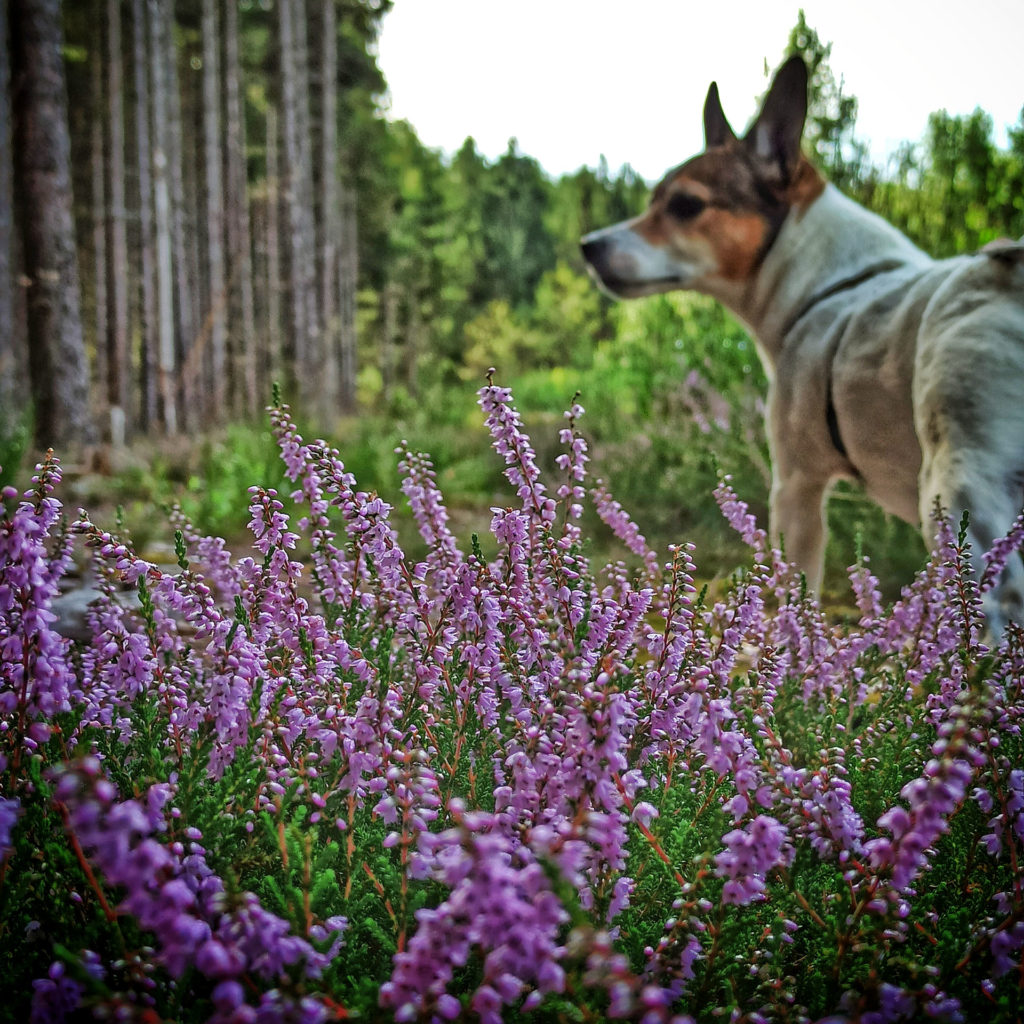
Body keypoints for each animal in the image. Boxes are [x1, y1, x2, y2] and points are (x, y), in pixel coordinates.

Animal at [585, 56, 1024, 634]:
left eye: (684, 205)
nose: (588, 246)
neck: (822, 283)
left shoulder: (796, 486)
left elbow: (798, 595)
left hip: (960, 496)